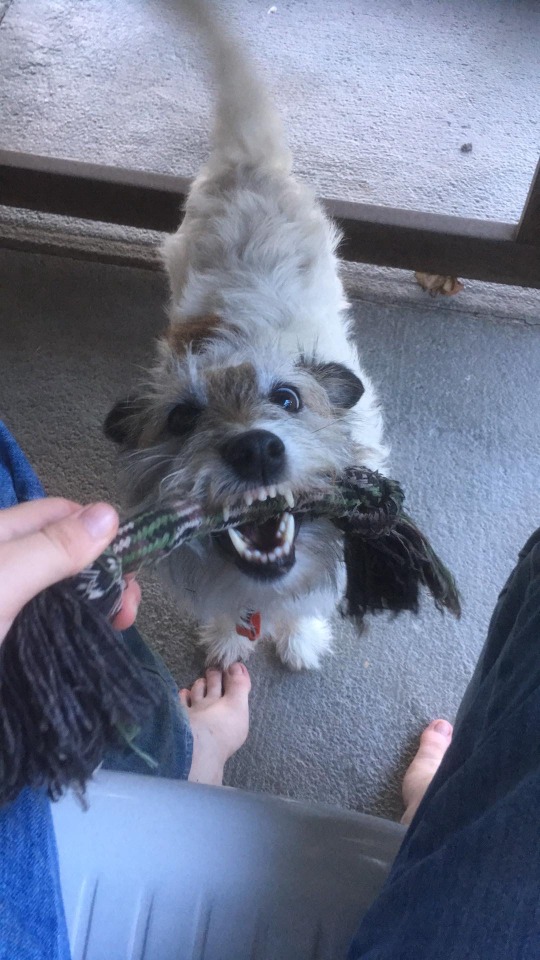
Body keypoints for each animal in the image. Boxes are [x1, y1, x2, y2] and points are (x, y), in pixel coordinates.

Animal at [105, 0, 386, 672]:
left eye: (288, 398)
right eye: (181, 418)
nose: (257, 449)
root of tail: (248, 166)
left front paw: (301, 636)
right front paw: (229, 640)